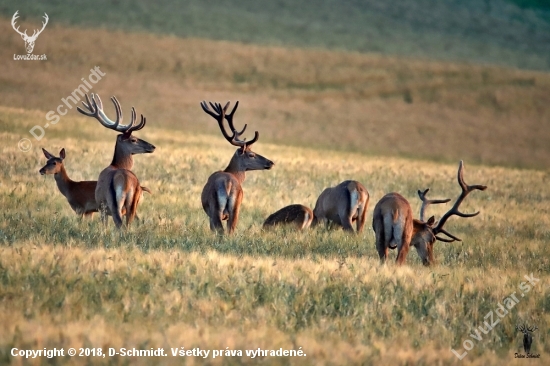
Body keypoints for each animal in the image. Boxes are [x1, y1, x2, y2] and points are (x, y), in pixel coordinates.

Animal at [76, 93, 156, 227]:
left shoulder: (101, 206)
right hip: (127, 204)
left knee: (120, 224)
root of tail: (126, 182)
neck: (116, 165)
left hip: (113, 204)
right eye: (133, 139)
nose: (152, 146)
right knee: (125, 224)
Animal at [201, 99, 274, 234]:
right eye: (251, 154)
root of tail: (228, 183)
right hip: (235, 207)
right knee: (229, 230)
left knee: (221, 230)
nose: (271, 162)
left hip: (217, 208)